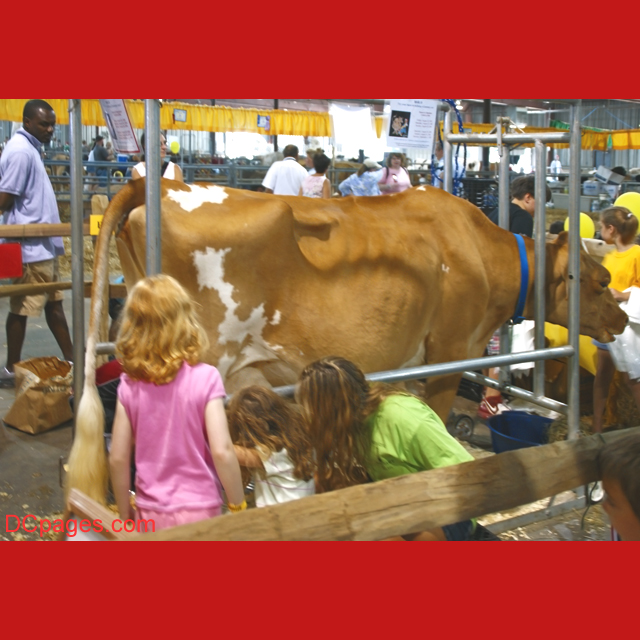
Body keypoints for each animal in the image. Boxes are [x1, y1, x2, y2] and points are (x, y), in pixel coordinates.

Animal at [67, 178, 628, 502]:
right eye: (600, 282)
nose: (623, 321)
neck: (479, 250)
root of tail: (158, 182)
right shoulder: (448, 351)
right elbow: (436, 420)